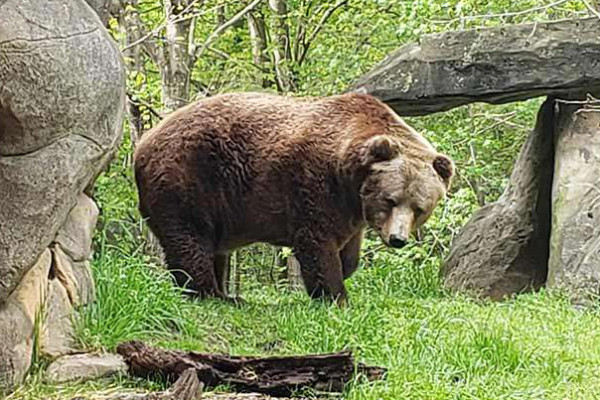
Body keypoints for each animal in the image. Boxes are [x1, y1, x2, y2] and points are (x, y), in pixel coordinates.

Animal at [134, 92, 452, 304]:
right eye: (390, 200)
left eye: (420, 208)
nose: (397, 239)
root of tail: (143, 142)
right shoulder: (315, 183)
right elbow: (318, 241)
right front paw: (336, 296)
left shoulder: (352, 208)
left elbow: (349, 249)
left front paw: (346, 268)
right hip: (189, 177)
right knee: (191, 238)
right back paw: (214, 294)